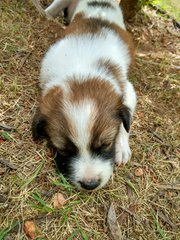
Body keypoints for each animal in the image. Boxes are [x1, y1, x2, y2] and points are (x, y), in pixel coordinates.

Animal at [32, 0, 136, 191]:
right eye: (64, 150)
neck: (81, 72)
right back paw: (47, 14)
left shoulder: (128, 90)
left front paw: (122, 147)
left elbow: (126, 124)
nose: (90, 184)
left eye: (106, 144)